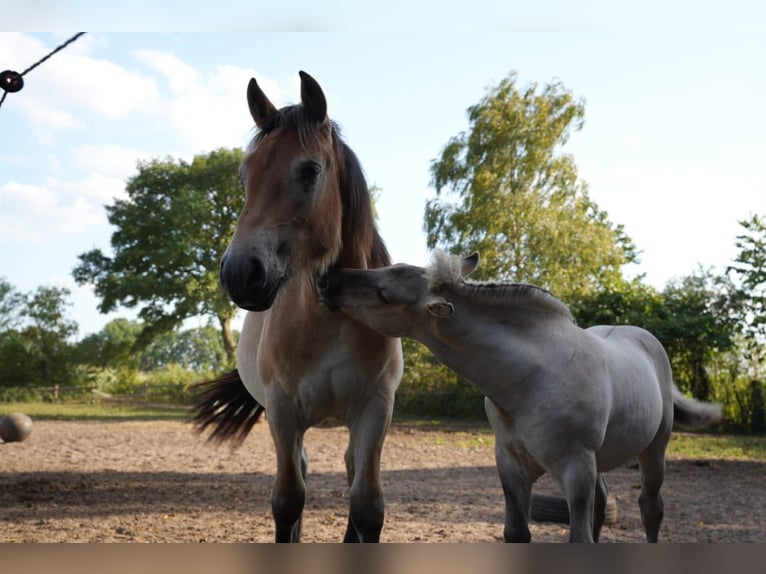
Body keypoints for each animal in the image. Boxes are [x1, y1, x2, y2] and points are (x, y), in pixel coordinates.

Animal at [191, 71, 403, 543]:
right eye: (244, 176)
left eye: (309, 170)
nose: (240, 272)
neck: (330, 317)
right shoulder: (283, 411)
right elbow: (288, 500)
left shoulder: (375, 408)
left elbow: (367, 507)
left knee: (350, 471)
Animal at [318, 250, 722, 543]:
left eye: (384, 295)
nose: (327, 278)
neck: (533, 379)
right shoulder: (511, 465)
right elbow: (517, 533)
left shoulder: (576, 467)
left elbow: (578, 537)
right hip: (602, 459)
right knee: (604, 503)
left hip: (653, 451)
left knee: (650, 508)